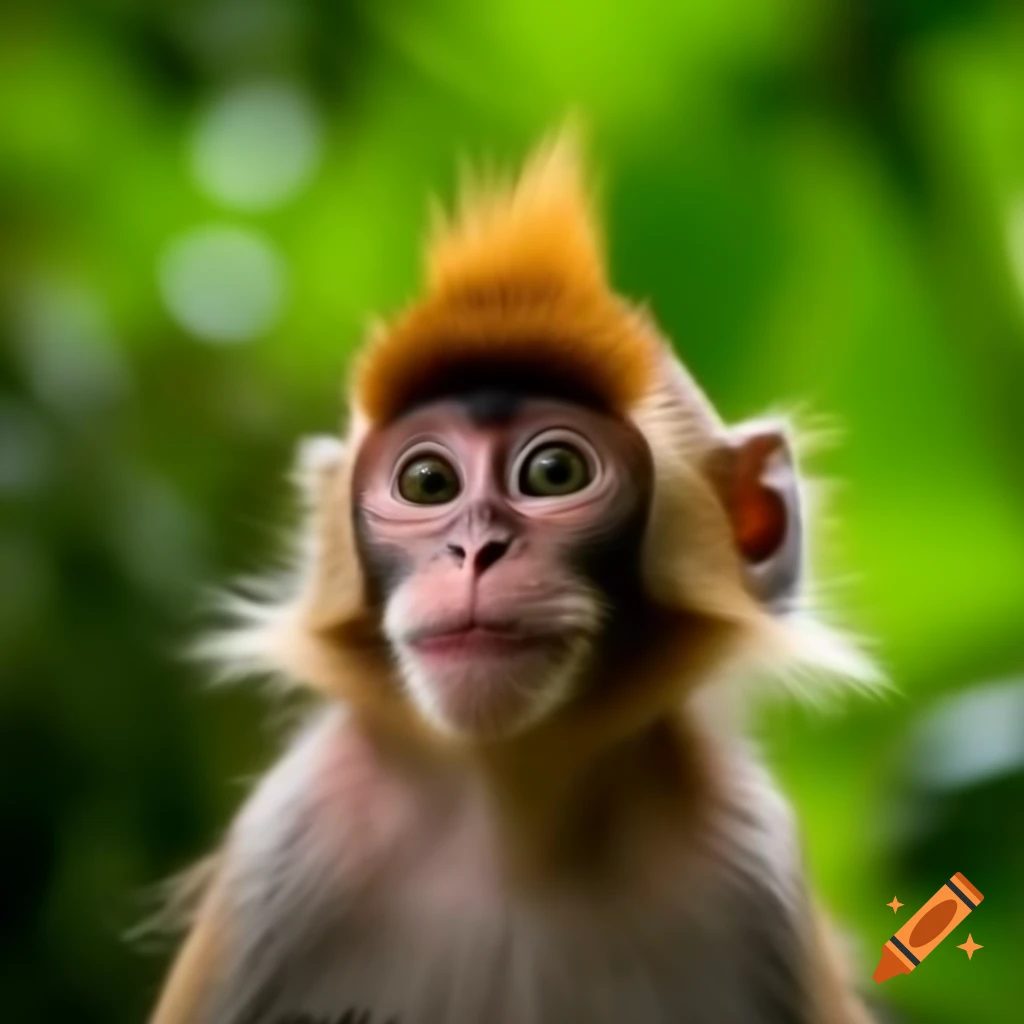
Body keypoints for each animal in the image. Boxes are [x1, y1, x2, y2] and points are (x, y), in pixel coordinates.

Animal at [150, 133, 881, 1024]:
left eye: (554, 472)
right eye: (428, 482)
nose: (475, 552)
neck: (513, 816)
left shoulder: (755, 876)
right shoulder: (281, 849)